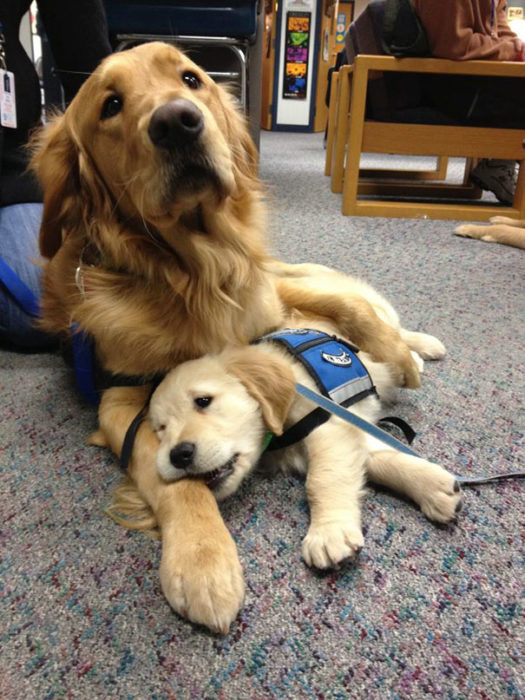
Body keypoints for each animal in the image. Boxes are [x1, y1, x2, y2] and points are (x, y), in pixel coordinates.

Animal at [30, 42, 424, 636]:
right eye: (111, 104)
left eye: (191, 79)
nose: (177, 121)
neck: (194, 272)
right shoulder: (121, 399)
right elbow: (176, 479)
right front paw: (201, 561)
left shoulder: (266, 310)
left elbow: (344, 309)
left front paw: (397, 356)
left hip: (284, 275)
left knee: (344, 294)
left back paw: (417, 346)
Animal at [149, 326, 460, 572]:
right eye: (161, 428)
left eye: (203, 401)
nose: (178, 455)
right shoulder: (345, 435)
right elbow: (379, 462)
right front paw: (435, 488)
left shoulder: (328, 424)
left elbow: (322, 478)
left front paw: (328, 532)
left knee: (393, 333)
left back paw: (424, 350)